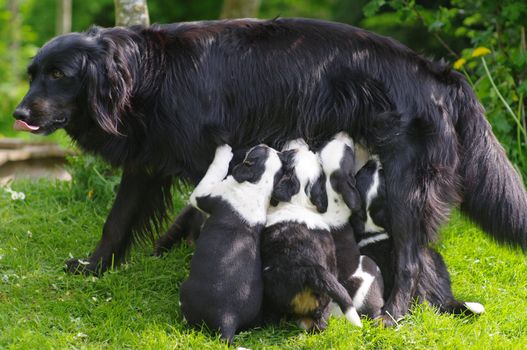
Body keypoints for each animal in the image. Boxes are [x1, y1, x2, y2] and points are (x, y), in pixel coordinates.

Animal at [178, 144, 284, 344]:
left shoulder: (202, 194)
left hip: (186, 292)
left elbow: (215, 169)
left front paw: (224, 150)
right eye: (274, 153)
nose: (263, 144)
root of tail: (227, 319)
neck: (258, 185)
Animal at [260, 139, 364, 330]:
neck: (298, 201)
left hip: (276, 292)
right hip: (323, 298)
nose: (299, 140)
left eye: (288, 154)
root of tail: (312, 270)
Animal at [352, 160, 484, 316]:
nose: (374, 161)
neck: (370, 223)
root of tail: (443, 300)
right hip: (434, 256)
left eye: (381, 173)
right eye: (365, 169)